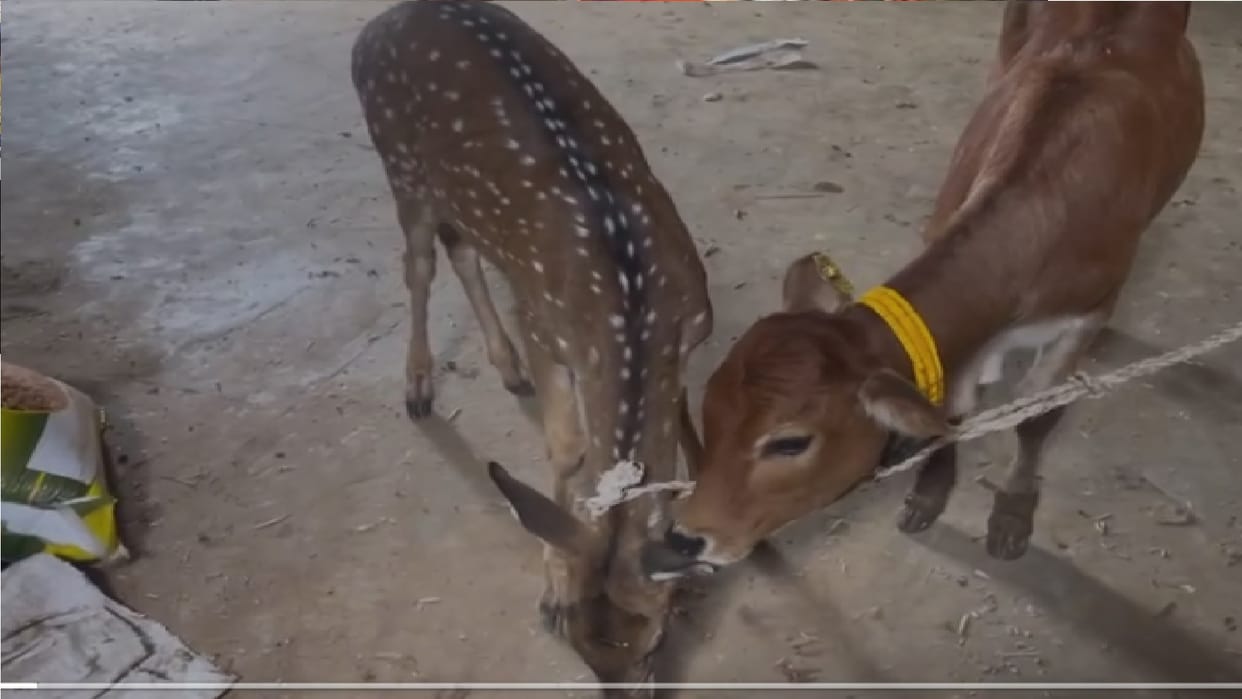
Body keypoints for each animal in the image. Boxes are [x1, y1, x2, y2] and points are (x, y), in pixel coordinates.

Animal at [351, 0, 712, 692]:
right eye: (577, 646)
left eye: (654, 643)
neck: (632, 308)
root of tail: (386, 20)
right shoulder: (547, 330)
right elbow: (569, 450)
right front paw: (549, 579)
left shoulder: (689, 337)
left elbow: (678, 433)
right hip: (400, 167)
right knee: (418, 264)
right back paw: (419, 385)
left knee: (461, 249)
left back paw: (505, 366)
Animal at [642, 0, 1204, 579]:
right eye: (709, 409)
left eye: (790, 442)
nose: (683, 538)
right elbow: (952, 413)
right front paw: (930, 491)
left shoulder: (1084, 315)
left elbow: (1035, 418)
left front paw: (1013, 511)